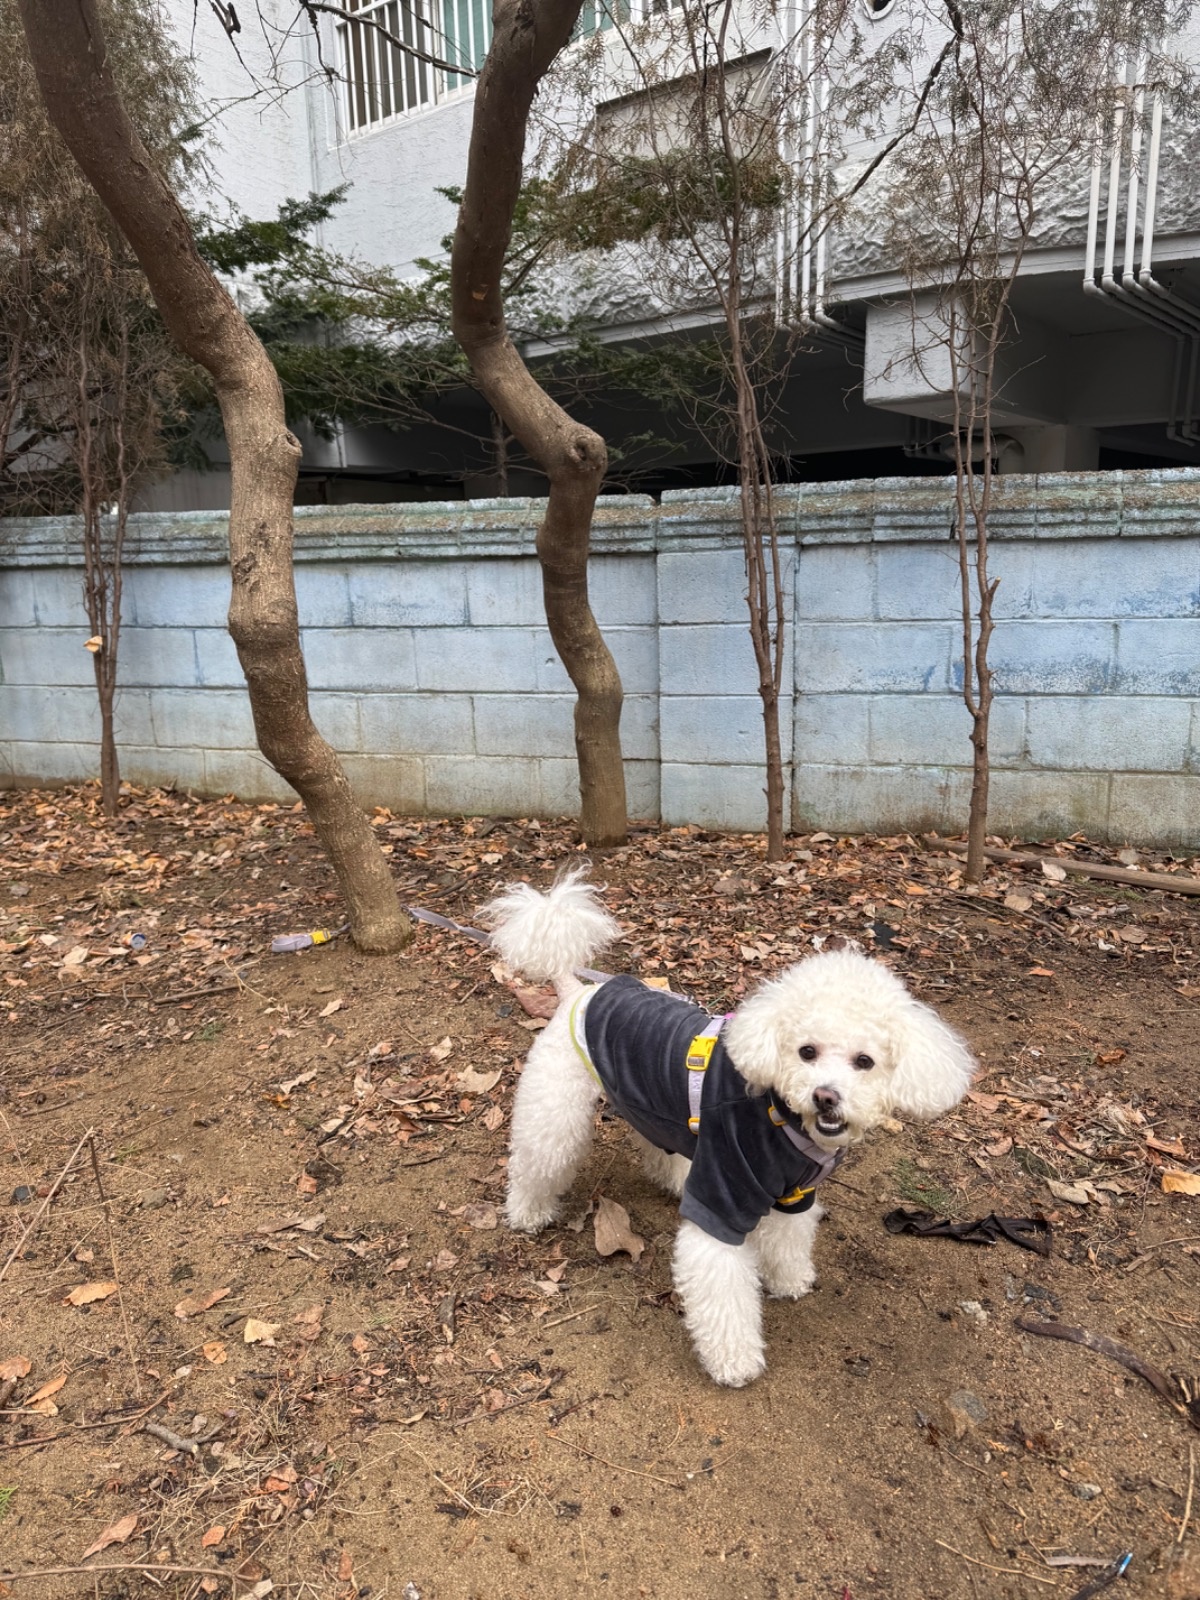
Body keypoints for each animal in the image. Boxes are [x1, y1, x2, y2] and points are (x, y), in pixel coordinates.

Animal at [486, 870, 979, 1382]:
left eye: (865, 1062)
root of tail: (577, 991)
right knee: (540, 1158)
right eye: (806, 1051)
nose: (825, 1096)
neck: (781, 1116)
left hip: (645, 1102)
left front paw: (789, 1279)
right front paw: (735, 1361)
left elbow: (786, 1241)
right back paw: (528, 1213)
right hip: (556, 1109)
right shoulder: (722, 1198)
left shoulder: (793, 1195)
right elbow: (722, 1287)